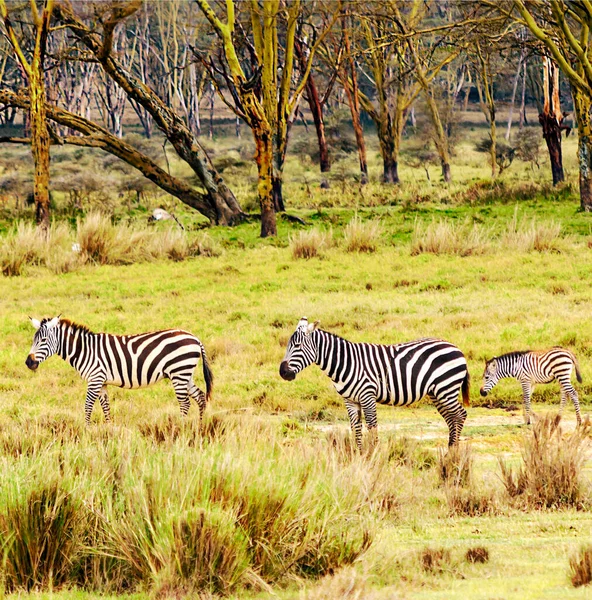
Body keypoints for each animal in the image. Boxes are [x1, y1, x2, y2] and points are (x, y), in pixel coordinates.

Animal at [26, 316, 215, 424]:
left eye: (43, 340)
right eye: (34, 340)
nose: (28, 362)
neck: (85, 350)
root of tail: (195, 338)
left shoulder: (95, 379)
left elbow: (88, 406)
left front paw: (85, 431)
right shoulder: (101, 382)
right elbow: (105, 407)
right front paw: (109, 431)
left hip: (179, 372)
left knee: (185, 403)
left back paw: (180, 429)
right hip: (185, 374)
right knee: (200, 397)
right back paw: (199, 427)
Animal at [280, 316, 470, 448]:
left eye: (297, 346)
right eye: (288, 345)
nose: (283, 372)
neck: (346, 362)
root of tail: (455, 347)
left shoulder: (367, 396)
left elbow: (372, 427)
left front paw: (373, 455)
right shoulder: (350, 400)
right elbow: (356, 429)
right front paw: (359, 455)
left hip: (446, 388)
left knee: (460, 414)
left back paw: (454, 451)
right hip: (437, 393)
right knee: (451, 418)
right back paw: (450, 449)